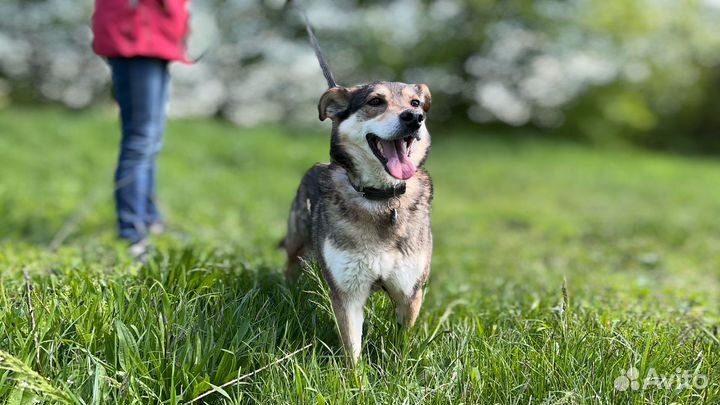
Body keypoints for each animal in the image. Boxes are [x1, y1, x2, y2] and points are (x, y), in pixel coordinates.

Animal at [282, 80, 434, 362]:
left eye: (415, 103)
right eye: (375, 101)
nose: (414, 118)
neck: (381, 199)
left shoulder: (409, 292)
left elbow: (401, 344)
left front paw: (398, 368)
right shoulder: (348, 293)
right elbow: (352, 349)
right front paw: (355, 375)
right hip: (296, 246)